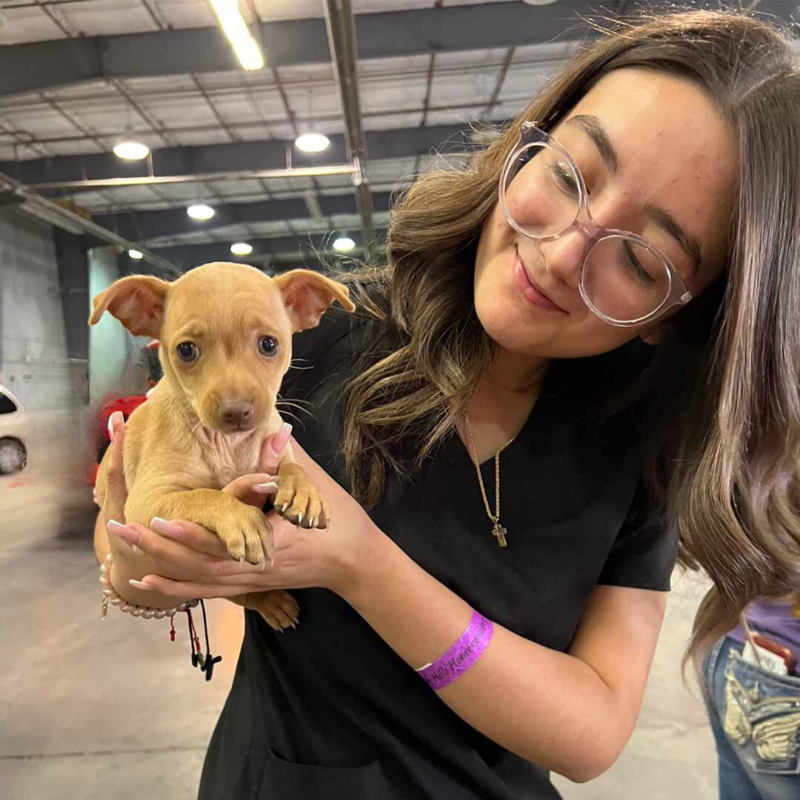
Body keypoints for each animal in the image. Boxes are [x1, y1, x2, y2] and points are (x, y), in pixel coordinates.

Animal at [89, 260, 354, 624]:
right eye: (186, 350)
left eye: (269, 344)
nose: (236, 411)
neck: (229, 446)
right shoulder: (148, 500)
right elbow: (203, 495)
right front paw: (241, 518)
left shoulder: (278, 447)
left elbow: (293, 467)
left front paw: (305, 491)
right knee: (238, 592)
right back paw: (270, 601)